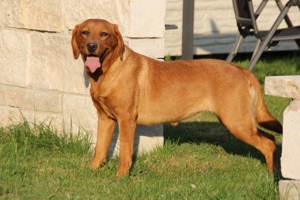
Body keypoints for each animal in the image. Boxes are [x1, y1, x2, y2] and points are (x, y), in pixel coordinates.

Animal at [71, 18, 282, 175]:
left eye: (104, 34)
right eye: (85, 32)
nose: (91, 46)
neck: (107, 73)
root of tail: (241, 69)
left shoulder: (126, 119)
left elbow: (125, 152)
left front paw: (120, 177)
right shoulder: (105, 118)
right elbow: (99, 149)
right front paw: (92, 172)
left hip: (236, 122)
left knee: (267, 143)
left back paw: (270, 175)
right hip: (241, 121)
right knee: (271, 138)